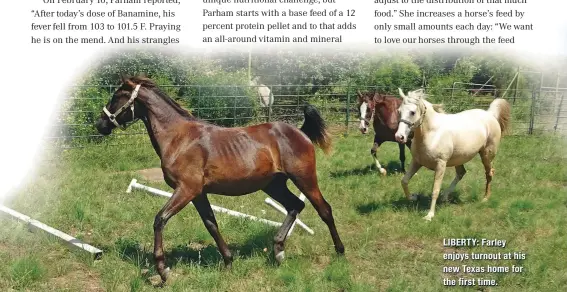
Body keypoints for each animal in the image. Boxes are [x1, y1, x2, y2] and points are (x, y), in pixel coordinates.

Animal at [95, 75, 344, 282]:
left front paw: (163, 271)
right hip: (273, 185)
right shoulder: (198, 194)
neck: (178, 138)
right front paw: (228, 262)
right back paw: (278, 251)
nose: (100, 124)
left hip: (305, 179)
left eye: (117, 96)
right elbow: (211, 225)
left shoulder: (186, 189)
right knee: (296, 205)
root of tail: (300, 131)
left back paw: (339, 252)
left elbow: (160, 219)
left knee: (324, 209)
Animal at [394, 88, 510, 220]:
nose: (399, 137)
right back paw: (445, 197)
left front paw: (429, 215)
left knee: (489, 173)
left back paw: (485, 198)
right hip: (459, 158)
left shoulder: (441, 165)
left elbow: (435, 190)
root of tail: (490, 114)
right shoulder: (417, 161)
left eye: (412, 112)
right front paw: (413, 197)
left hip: (486, 155)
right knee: (461, 173)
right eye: (399, 111)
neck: (432, 133)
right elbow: (404, 181)